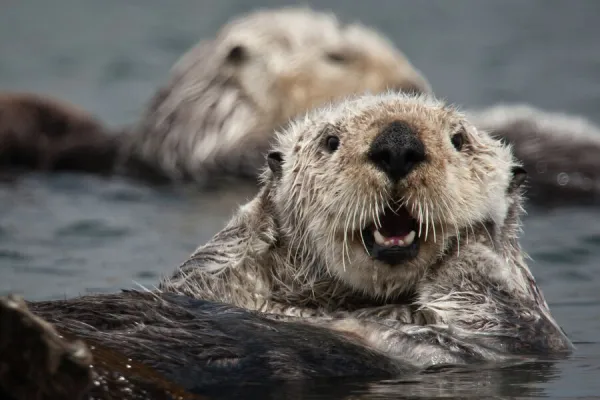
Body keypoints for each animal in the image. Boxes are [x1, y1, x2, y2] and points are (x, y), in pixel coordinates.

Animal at [0, 92, 572, 398]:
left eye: (460, 140)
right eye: (330, 141)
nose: (398, 143)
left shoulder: (513, 340)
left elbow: (503, 310)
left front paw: (478, 241)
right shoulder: (208, 278)